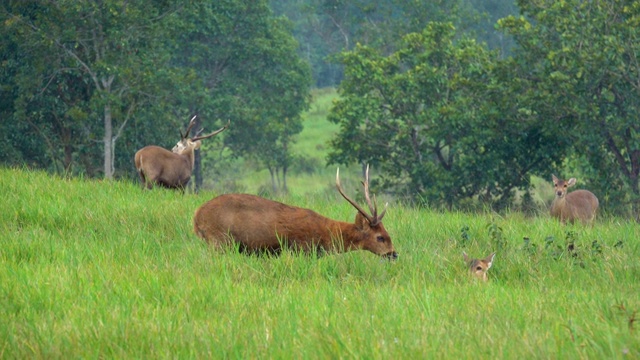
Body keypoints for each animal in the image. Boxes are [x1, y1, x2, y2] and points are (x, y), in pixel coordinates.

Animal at [192, 166, 398, 258]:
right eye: (380, 237)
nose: (394, 253)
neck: (325, 235)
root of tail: (196, 217)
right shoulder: (301, 249)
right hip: (219, 240)